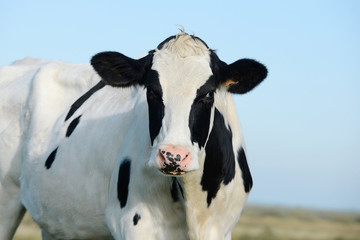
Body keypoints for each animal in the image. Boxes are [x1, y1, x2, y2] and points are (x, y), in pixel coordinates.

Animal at [0, 31, 268, 239]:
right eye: (151, 90)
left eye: (208, 93)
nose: (173, 156)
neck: (194, 204)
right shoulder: (134, 224)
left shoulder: (221, 228)